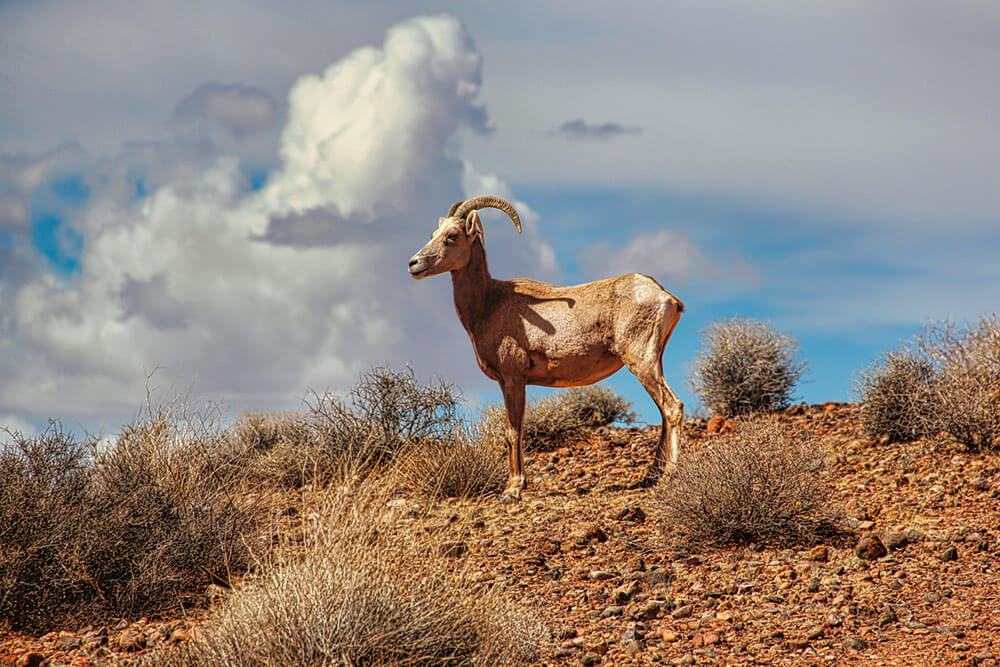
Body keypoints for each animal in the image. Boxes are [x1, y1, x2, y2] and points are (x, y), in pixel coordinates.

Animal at [408, 195, 684, 501]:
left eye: (452, 236)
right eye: (434, 234)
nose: (414, 264)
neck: (488, 305)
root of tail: (666, 297)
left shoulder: (514, 379)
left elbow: (513, 431)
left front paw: (513, 489)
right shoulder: (507, 382)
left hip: (641, 361)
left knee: (672, 407)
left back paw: (668, 477)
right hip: (653, 362)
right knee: (664, 412)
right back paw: (652, 475)